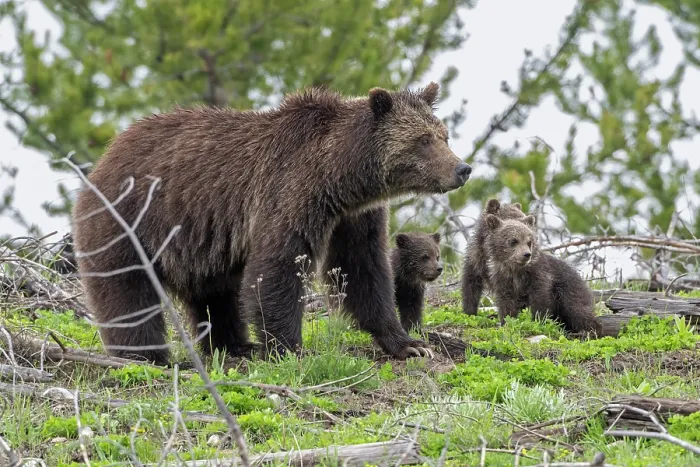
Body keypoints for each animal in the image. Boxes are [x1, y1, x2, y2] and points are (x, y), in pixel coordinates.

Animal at [71, 82, 472, 366]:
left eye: (444, 135)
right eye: (423, 140)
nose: (462, 168)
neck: (341, 177)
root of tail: (104, 156)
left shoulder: (354, 217)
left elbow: (363, 271)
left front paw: (409, 344)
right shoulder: (290, 193)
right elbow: (277, 267)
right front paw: (290, 348)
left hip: (201, 240)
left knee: (216, 292)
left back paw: (235, 345)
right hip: (129, 219)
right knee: (127, 289)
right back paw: (146, 355)